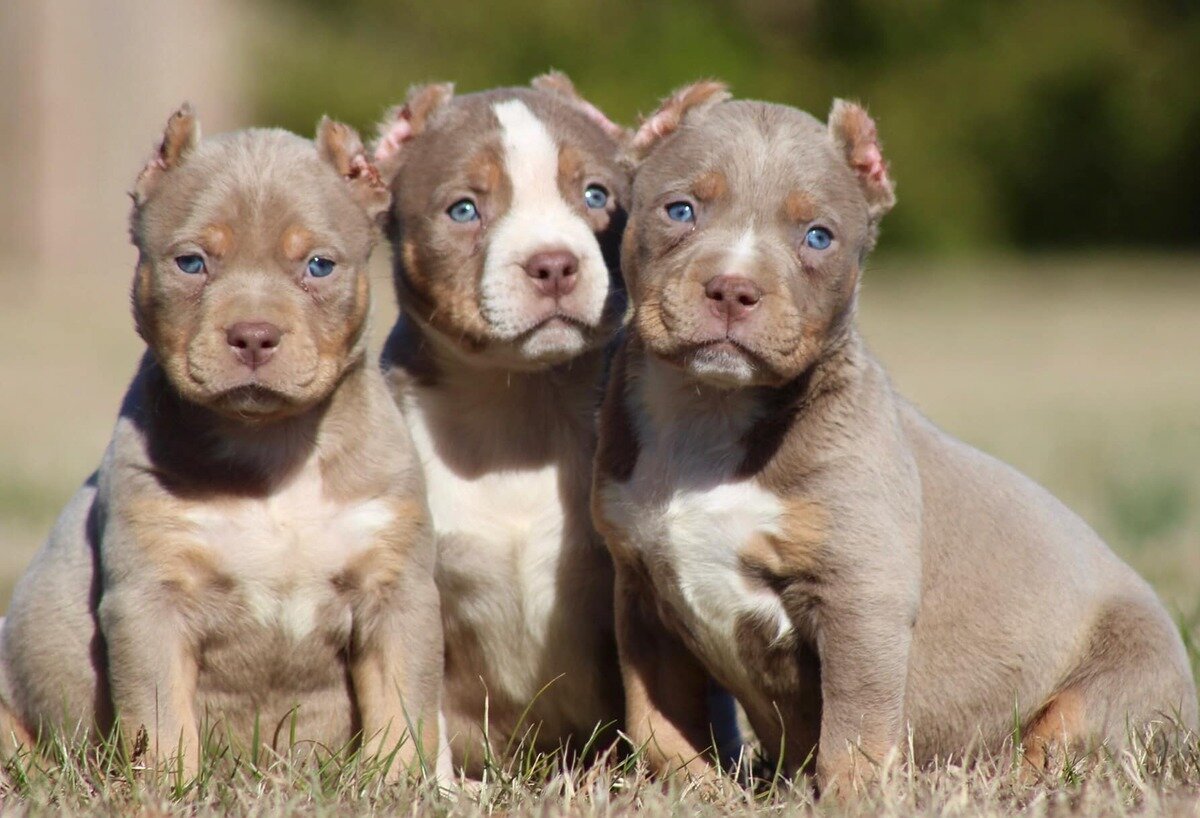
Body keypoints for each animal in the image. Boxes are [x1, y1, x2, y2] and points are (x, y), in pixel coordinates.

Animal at [0, 106, 441, 772]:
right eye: (191, 263)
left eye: (319, 265)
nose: (253, 334)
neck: (273, 443)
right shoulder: (150, 603)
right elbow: (163, 722)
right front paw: (170, 784)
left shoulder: (396, 594)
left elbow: (401, 710)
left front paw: (400, 782)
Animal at [374, 71, 643, 772]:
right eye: (464, 210)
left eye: (596, 195)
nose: (554, 264)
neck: (519, 405)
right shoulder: (423, 597)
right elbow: (423, 710)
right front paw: (439, 789)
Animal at [592, 84, 1200, 796]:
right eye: (680, 210)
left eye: (818, 237)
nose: (733, 289)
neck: (709, 411)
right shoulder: (642, 591)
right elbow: (654, 720)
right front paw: (697, 789)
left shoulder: (862, 595)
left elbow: (854, 727)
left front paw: (850, 798)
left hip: (1114, 686)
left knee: (1058, 744)